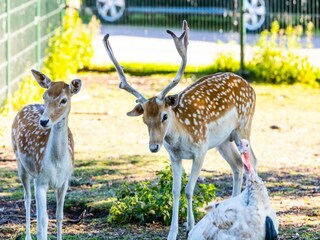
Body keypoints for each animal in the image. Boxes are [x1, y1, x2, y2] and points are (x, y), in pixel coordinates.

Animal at [11, 69, 81, 240]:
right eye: (44, 96)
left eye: (63, 100)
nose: (43, 121)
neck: (57, 161)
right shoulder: (41, 180)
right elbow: (44, 220)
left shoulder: (64, 181)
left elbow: (59, 216)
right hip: (20, 162)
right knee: (27, 198)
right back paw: (28, 236)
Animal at [102, 21, 258, 240]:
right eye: (144, 120)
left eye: (164, 116)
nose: (153, 146)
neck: (181, 138)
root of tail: (249, 86)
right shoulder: (174, 157)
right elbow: (176, 191)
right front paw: (174, 231)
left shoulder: (200, 150)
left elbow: (189, 189)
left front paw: (190, 228)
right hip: (222, 141)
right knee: (236, 165)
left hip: (244, 127)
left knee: (253, 160)